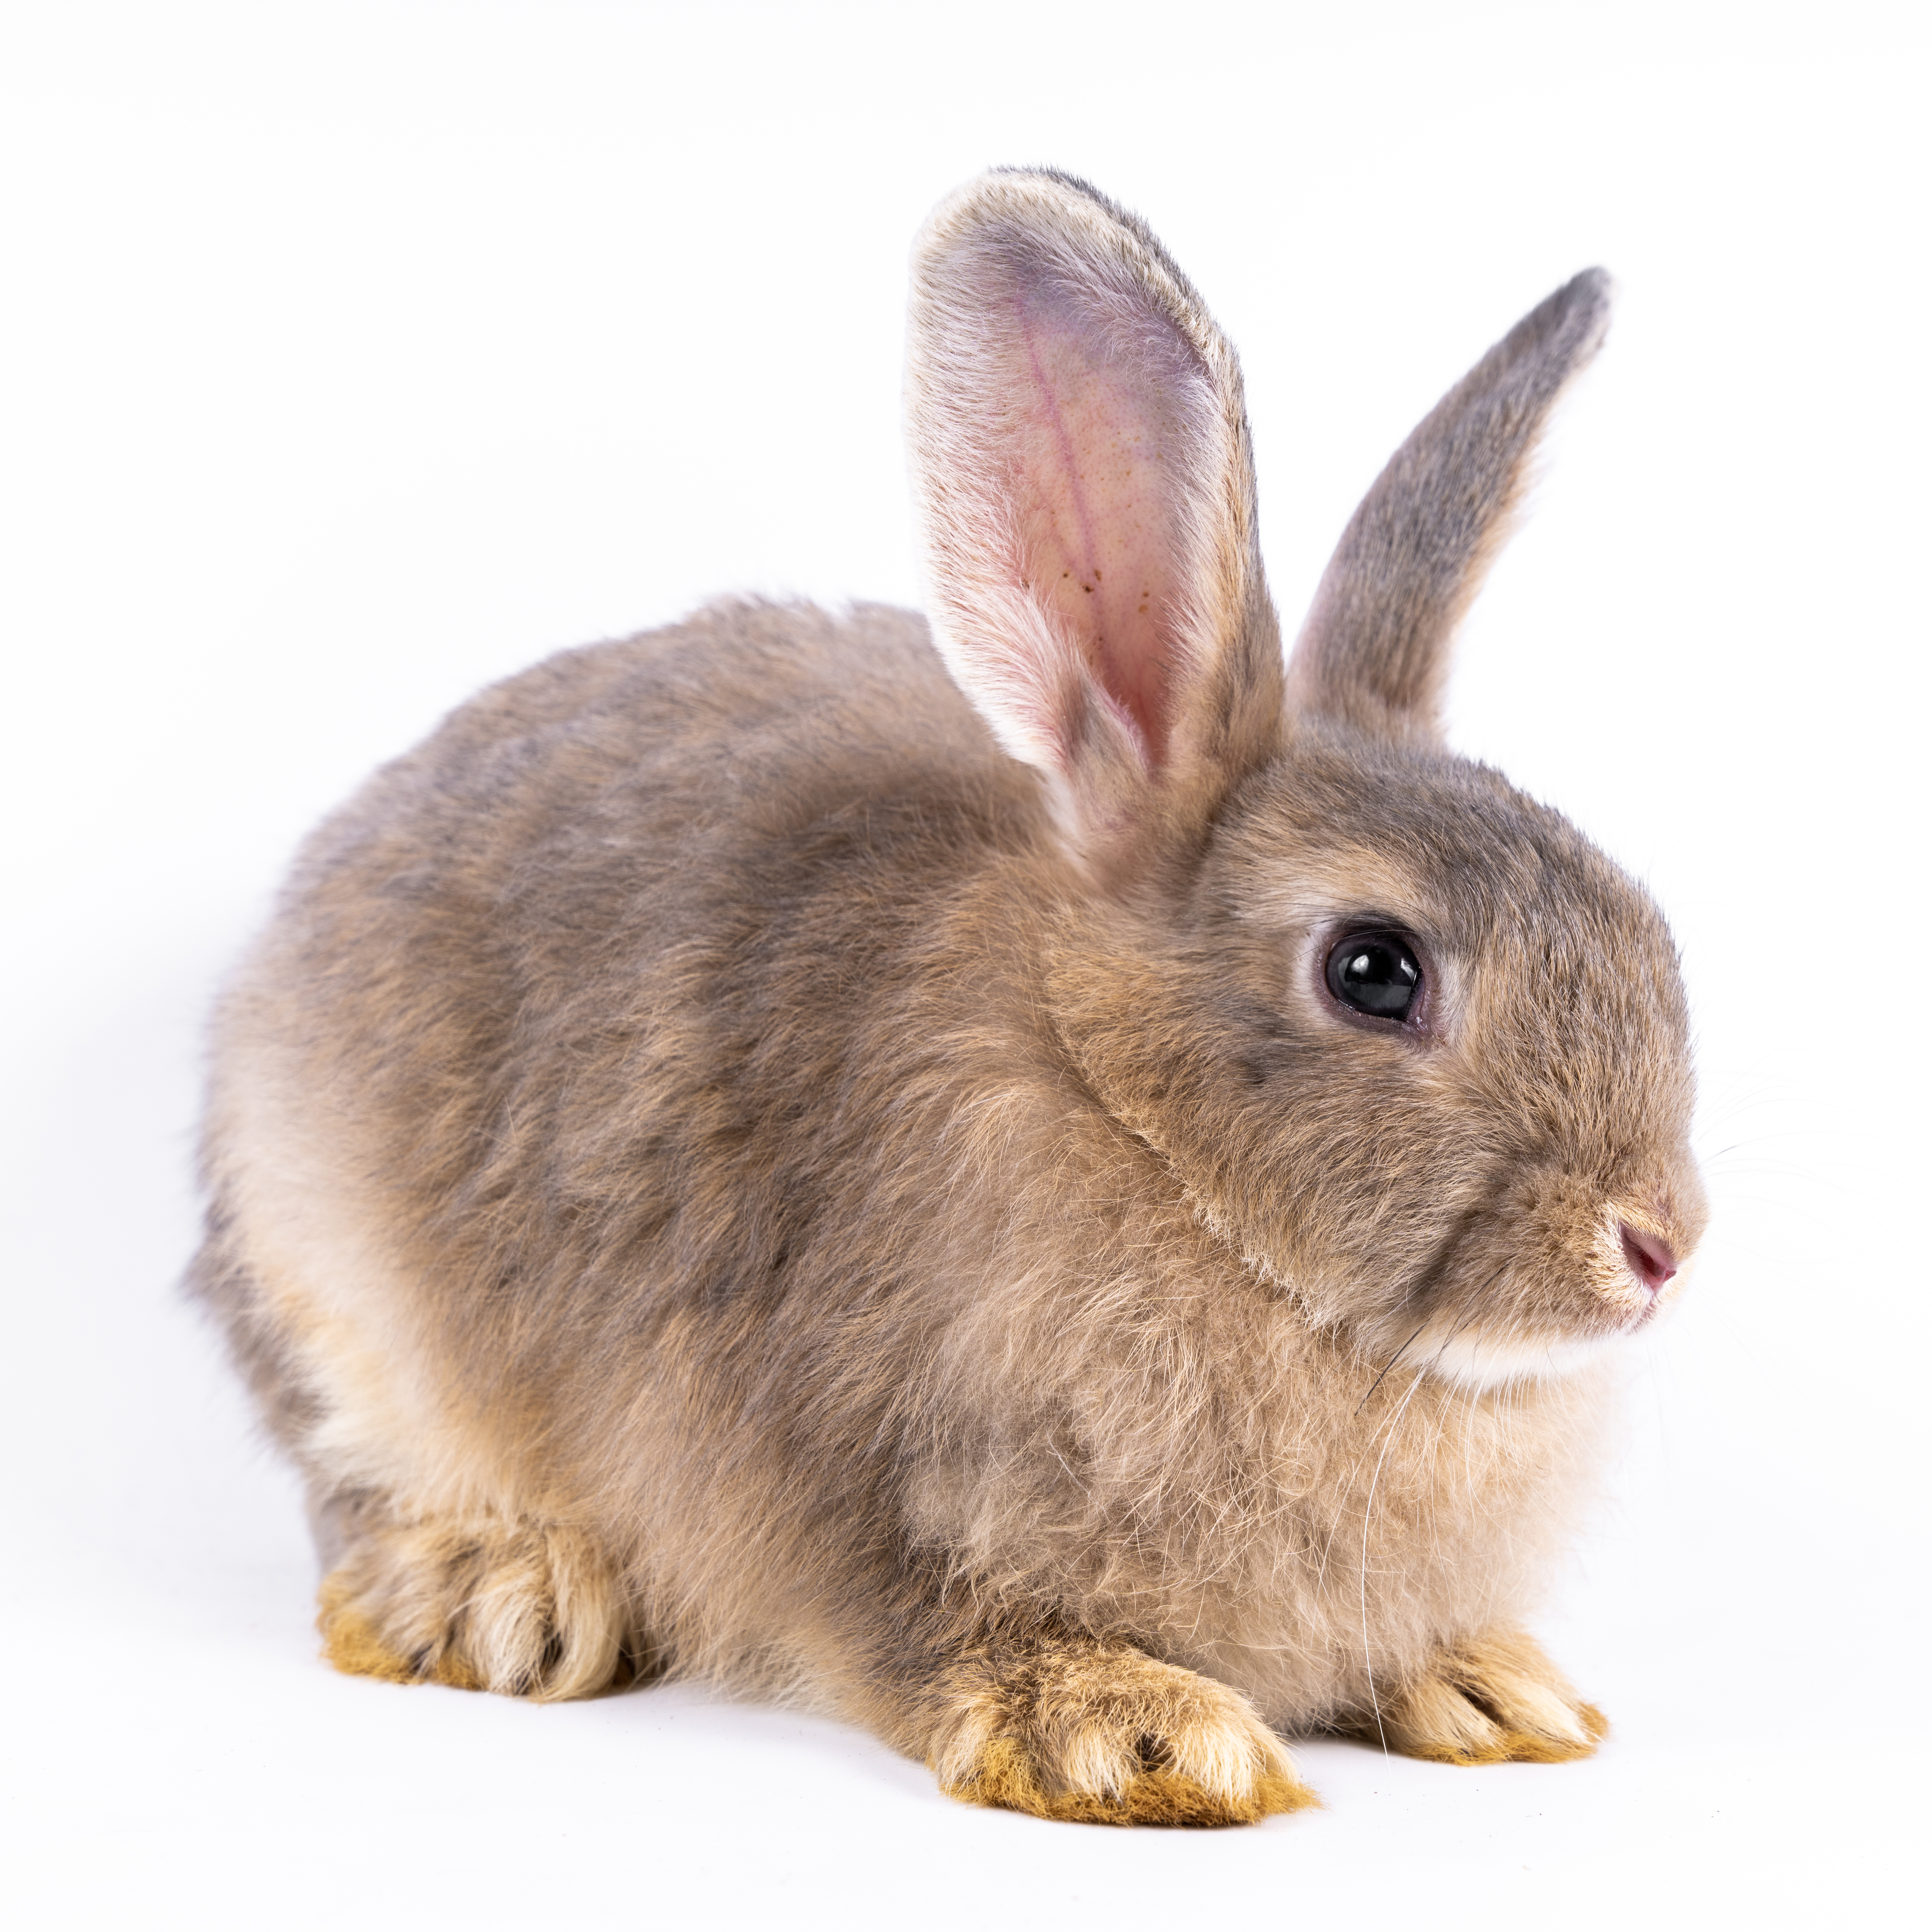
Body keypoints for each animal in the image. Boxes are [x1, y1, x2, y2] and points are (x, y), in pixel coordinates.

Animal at [190, 167, 1706, 1828]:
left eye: (1642, 924)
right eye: (1374, 970)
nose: (1657, 1246)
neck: (1137, 1130)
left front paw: (1491, 1687)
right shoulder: (837, 1461)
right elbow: (921, 1620)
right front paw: (1127, 1732)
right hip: (334, 1291)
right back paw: (497, 1590)